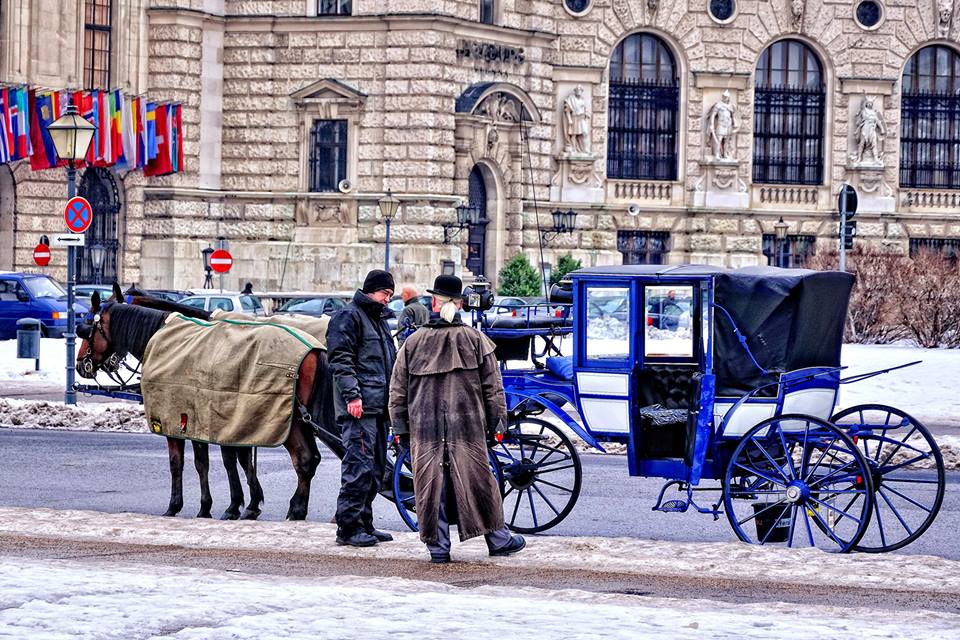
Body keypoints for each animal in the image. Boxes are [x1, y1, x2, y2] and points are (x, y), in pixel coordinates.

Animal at [77, 290, 336, 520]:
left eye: (87, 325)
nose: (80, 365)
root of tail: (312, 351)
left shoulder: (187, 419)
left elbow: (185, 463)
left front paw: (184, 506)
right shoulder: (215, 420)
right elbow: (223, 462)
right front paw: (238, 505)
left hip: (291, 421)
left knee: (305, 459)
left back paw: (298, 510)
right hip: (301, 419)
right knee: (313, 458)